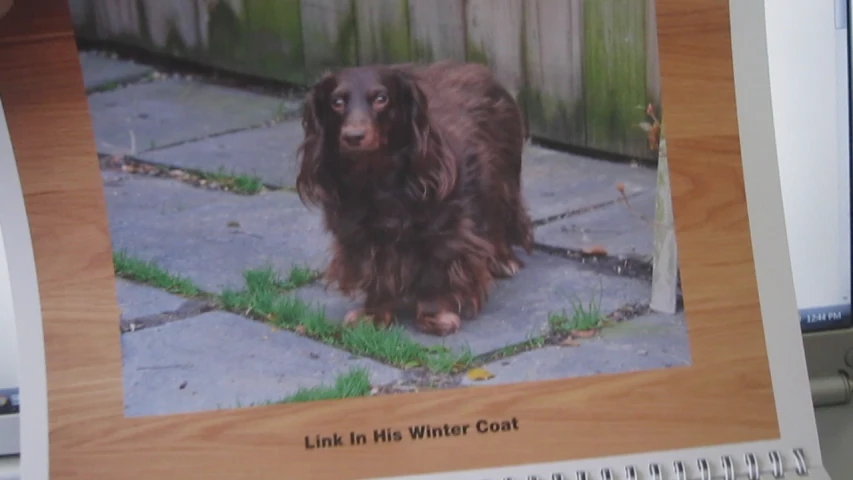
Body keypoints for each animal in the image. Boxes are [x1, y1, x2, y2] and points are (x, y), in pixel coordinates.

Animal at [296, 61, 528, 338]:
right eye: (337, 101)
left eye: (381, 99)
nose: (353, 136)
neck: (377, 181)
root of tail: (477, 67)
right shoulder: (361, 236)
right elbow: (376, 273)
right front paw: (374, 314)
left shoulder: (444, 233)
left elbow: (434, 274)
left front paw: (434, 316)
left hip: (502, 182)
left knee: (498, 219)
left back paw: (503, 260)